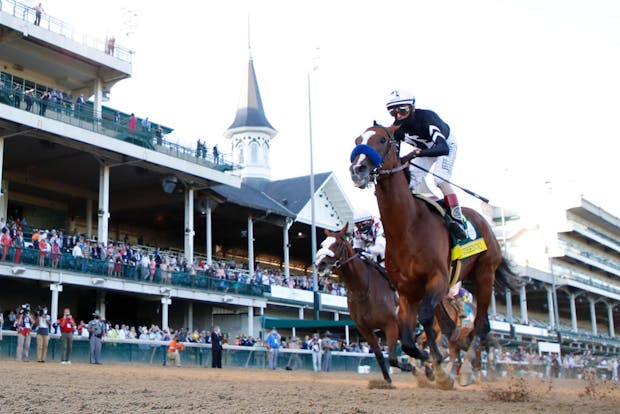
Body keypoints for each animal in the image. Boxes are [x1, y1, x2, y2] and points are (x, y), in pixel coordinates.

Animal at [314, 225, 406, 384]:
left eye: (337, 244)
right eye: (322, 244)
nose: (320, 263)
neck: (363, 289)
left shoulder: (391, 324)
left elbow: (393, 359)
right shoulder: (365, 329)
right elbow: (380, 356)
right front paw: (387, 381)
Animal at [352, 123, 520, 388]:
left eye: (382, 139)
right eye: (358, 140)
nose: (357, 169)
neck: (408, 227)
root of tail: (482, 220)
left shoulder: (438, 279)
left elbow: (426, 318)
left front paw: (438, 368)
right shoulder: (407, 292)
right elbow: (409, 342)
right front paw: (429, 365)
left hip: (485, 274)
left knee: (480, 325)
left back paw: (467, 370)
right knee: (456, 327)